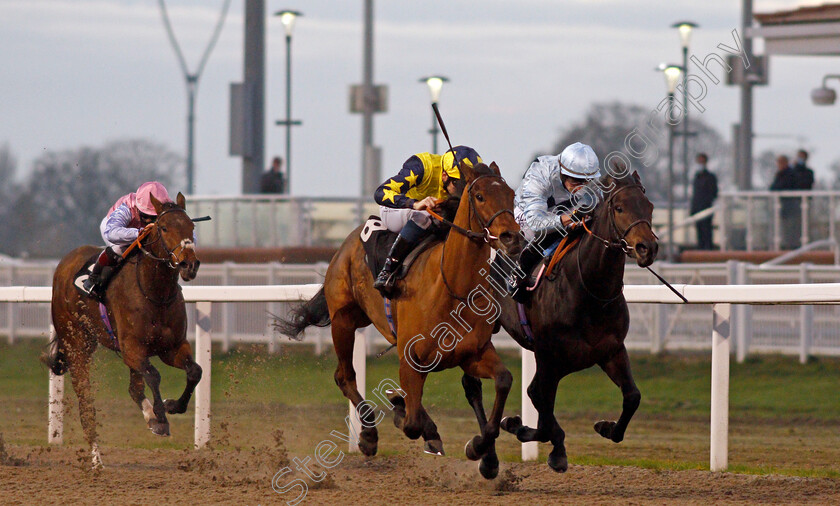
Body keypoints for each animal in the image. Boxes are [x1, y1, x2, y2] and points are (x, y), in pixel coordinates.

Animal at [46, 193, 202, 466]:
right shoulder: (132, 348)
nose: (189, 265)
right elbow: (154, 375)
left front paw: (172, 406)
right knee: (86, 402)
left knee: (134, 388)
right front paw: (161, 417)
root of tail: (64, 264)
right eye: (163, 227)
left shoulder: (172, 347)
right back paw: (96, 458)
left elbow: (195, 371)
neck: (155, 293)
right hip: (77, 344)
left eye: (191, 227)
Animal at [278, 161, 520, 478]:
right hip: (343, 320)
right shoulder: (412, 357)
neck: (451, 287)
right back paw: (369, 435)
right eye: (479, 196)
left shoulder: (474, 353)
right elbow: (412, 422)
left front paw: (481, 449)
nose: (512, 237)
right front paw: (403, 412)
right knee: (345, 376)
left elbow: (503, 380)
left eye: (511, 194)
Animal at [496, 170, 660, 470]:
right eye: (620, 208)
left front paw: (607, 427)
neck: (589, 290)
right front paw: (550, 447)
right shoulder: (550, 358)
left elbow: (632, 396)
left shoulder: (610, 350)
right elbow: (541, 407)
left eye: (650, 206)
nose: (647, 248)